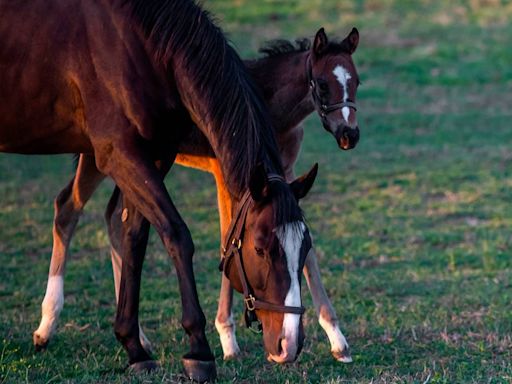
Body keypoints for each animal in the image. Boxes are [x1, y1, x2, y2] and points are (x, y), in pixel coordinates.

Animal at [0, 0, 318, 380]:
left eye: (304, 247)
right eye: (260, 248)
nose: (290, 344)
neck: (140, 44)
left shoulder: (156, 154)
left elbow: (135, 238)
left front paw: (133, 346)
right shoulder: (119, 153)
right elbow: (177, 235)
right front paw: (198, 350)